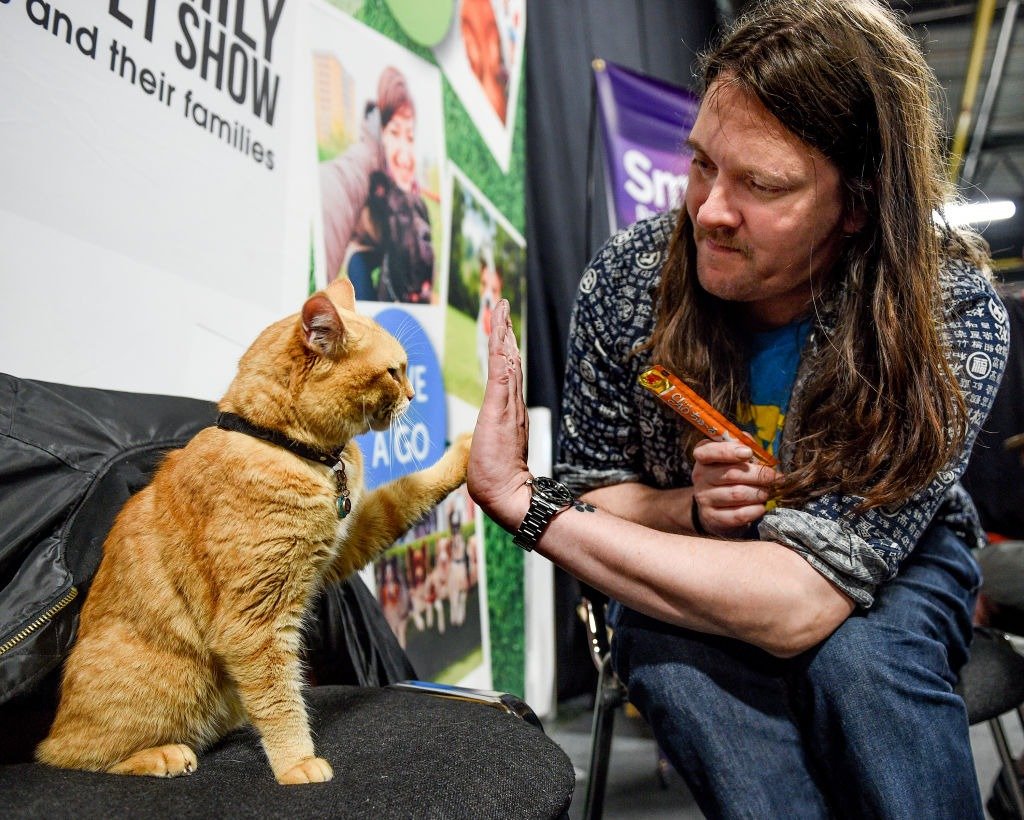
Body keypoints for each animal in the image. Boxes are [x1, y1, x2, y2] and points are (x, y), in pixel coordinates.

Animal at [37, 278, 471, 782]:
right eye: (393, 372)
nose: (415, 395)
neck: (284, 445)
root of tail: (52, 725)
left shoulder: (341, 546)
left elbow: (405, 494)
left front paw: (464, 454)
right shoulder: (255, 621)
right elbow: (280, 699)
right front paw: (297, 762)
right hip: (166, 683)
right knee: (74, 756)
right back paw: (163, 755)